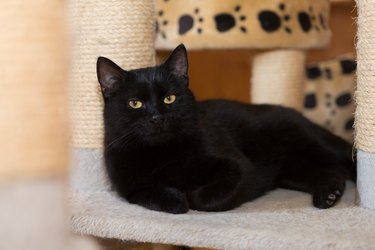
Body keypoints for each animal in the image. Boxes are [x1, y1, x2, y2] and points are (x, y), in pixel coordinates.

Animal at [96, 44, 356, 214]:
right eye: (135, 103)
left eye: (169, 98)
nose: (157, 117)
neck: (162, 154)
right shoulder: (131, 189)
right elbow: (154, 196)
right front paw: (177, 198)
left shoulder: (239, 167)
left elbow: (207, 198)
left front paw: (191, 195)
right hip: (295, 171)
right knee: (330, 172)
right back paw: (328, 196)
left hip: (312, 146)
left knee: (343, 163)